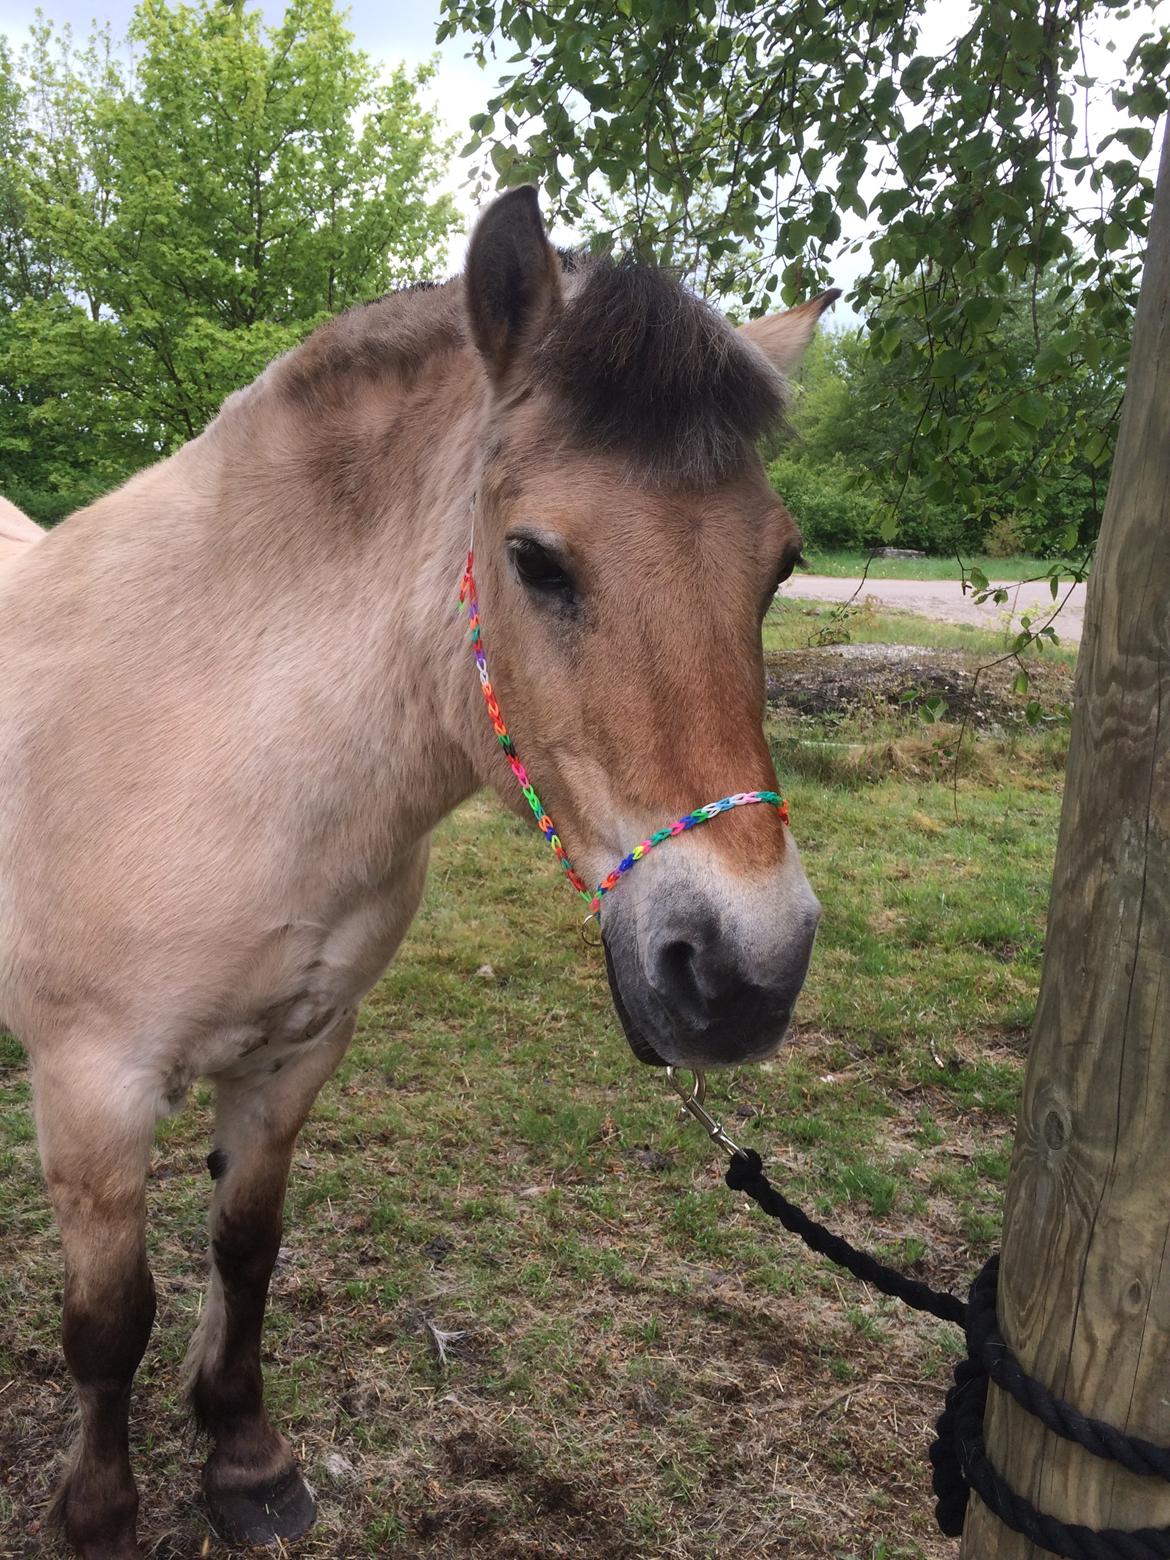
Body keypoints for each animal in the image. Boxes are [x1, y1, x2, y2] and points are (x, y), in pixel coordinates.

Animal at [0, 188, 836, 1553]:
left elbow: (247, 1250)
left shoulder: (297, 1051)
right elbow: (109, 1322)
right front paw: (99, 1514)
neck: (205, 730)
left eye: (779, 565)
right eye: (537, 559)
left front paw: (246, 1461)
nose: (745, 971)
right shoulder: (93, 1087)